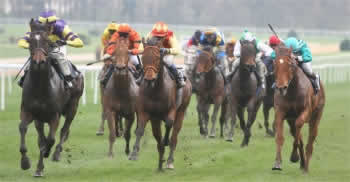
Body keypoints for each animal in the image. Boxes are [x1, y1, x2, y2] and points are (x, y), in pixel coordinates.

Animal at [19, 19, 84, 177]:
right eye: (30, 40)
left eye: (47, 41)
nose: (38, 62)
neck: (40, 86)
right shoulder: (29, 111)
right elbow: (24, 129)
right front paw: (26, 163)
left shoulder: (55, 115)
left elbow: (51, 139)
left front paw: (46, 156)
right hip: (40, 118)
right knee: (43, 136)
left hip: (73, 107)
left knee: (64, 130)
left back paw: (56, 153)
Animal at [129, 37, 191, 171]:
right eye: (143, 57)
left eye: (158, 58)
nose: (149, 78)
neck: (156, 90)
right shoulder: (145, 112)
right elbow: (140, 130)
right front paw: (134, 153)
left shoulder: (172, 109)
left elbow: (169, 123)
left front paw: (166, 141)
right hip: (155, 120)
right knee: (158, 141)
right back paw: (160, 166)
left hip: (181, 111)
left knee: (174, 136)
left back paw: (169, 161)